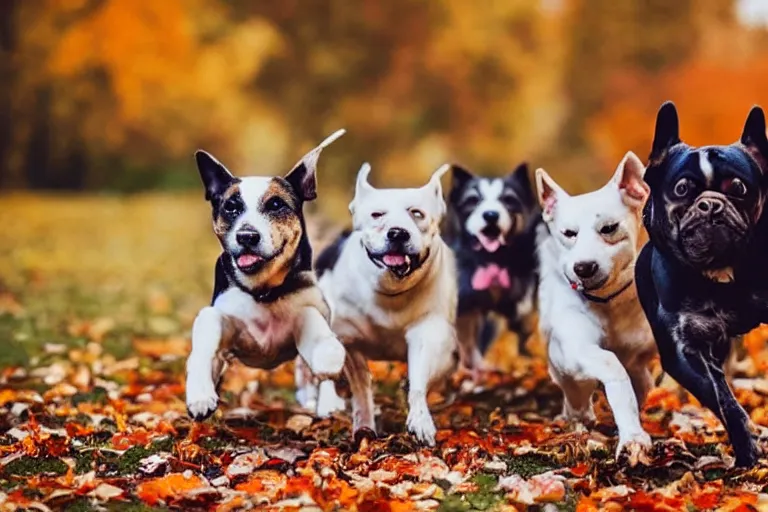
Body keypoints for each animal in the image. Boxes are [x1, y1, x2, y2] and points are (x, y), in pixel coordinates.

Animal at [184, 128, 346, 420]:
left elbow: (313, 325)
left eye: (275, 204)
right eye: (231, 207)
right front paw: (200, 395)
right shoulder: (225, 325)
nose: (247, 235)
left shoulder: (307, 311)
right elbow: (207, 328)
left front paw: (328, 355)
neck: (263, 291)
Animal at [296, 163, 460, 444]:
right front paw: (363, 423)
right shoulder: (349, 340)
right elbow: (361, 385)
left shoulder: (429, 332)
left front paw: (420, 419)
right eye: (376, 214)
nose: (397, 232)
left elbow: (420, 376)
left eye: (417, 213)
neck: (390, 290)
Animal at [444, 164, 540, 372]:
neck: (491, 259)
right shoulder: (466, 307)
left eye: (509, 200)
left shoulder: (518, 307)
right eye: (473, 200)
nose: (490, 215)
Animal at [536, 152, 656, 460]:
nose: (584, 267)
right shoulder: (575, 349)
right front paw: (632, 436)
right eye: (569, 233)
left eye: (609, 228)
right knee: (577, 392)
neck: (610, 301)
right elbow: (612, 366)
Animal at [636, 102, 768, 466]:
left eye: (738, 187)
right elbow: (722, 399)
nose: (710, 203)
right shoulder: (685, 350)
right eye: (682, 189)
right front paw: (747, 452)